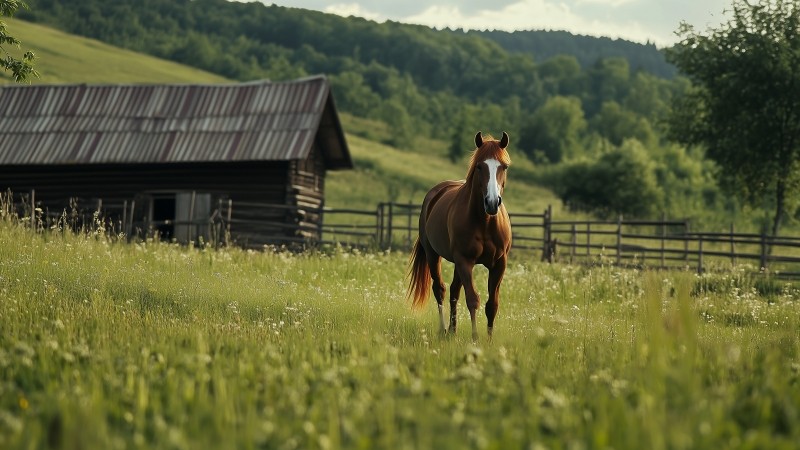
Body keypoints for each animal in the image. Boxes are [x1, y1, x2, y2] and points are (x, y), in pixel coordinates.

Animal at [407, 131, 512, 342]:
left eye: (503, 166)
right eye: (479, 166)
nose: (492, 203)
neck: (484, 222)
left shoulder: (499, 263)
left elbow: (492, 304)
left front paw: (489, 340)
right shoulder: (465, 260)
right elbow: (472, 299)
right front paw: (475, 337)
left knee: (454, 291)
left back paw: (453, 330)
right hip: (433, 255)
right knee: (440, 289)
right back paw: (443, 329)